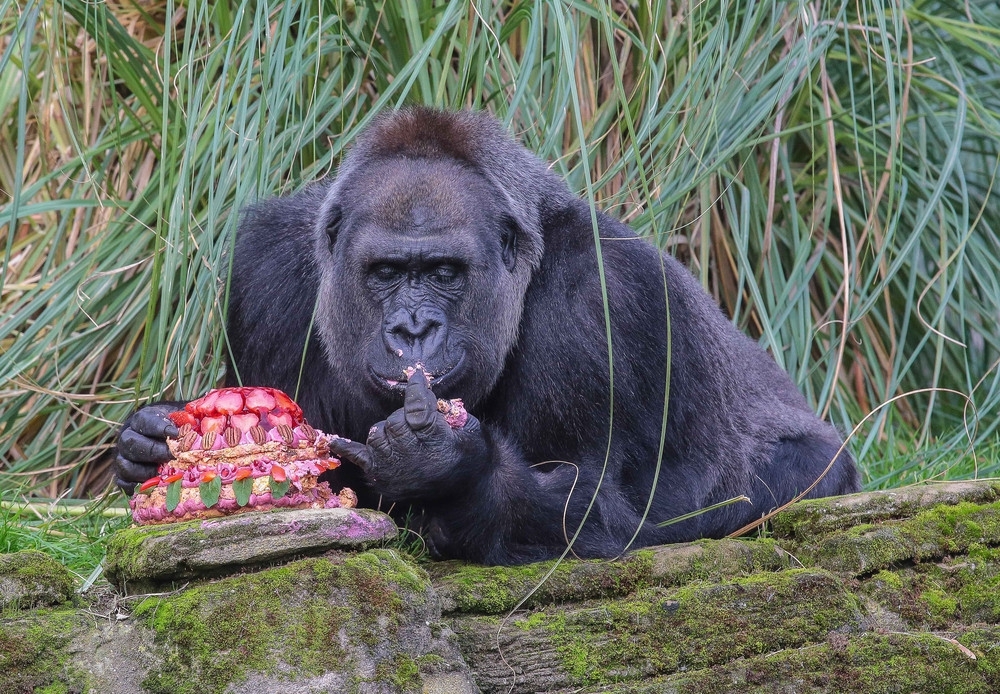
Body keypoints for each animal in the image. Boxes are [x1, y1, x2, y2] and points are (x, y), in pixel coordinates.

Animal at [113, 107, 856, 564]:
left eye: (445, 272)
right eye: (387, 273)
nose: (413, 329)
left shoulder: (605, 295)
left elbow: (602, 509)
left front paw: (447, 465)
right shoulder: (266, 267)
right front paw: (147, 444)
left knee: (792, 469)